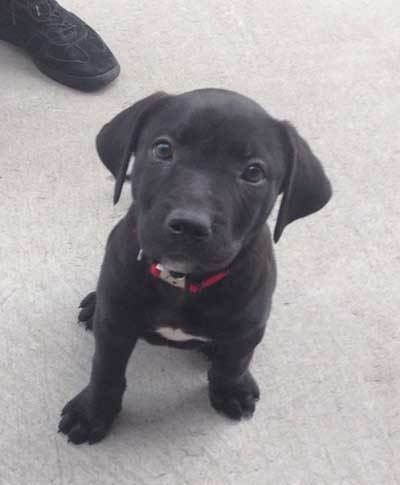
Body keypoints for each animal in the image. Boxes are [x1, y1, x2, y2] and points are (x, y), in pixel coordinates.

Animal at [57, 89, 332, 444]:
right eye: (163, 149)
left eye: (253, 173)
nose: (189, 224)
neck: (182, 280)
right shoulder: (115, 325)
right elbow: (106, 370)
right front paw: (93, 413)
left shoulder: (248, 328)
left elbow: (233, 363)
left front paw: (232, 390)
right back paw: (93, 306)